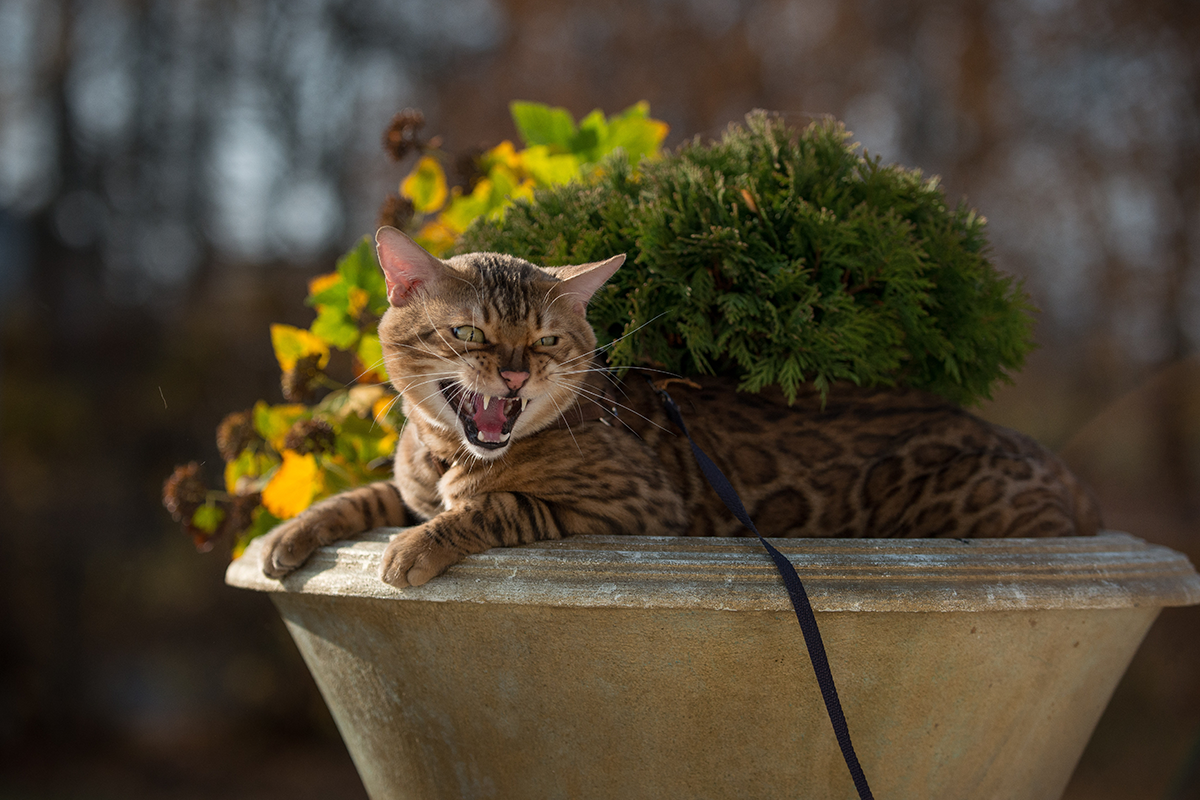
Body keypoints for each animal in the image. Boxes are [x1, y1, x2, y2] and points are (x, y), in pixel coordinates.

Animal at [258, 226, 1099, 587]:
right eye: (468, 332)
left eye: (547, 341)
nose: (515, 376)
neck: (448, 456)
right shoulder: (410, 485)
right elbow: (363, 496)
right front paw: (289, 534)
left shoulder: (637, 507)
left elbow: (502, 508)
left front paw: (417, 547)